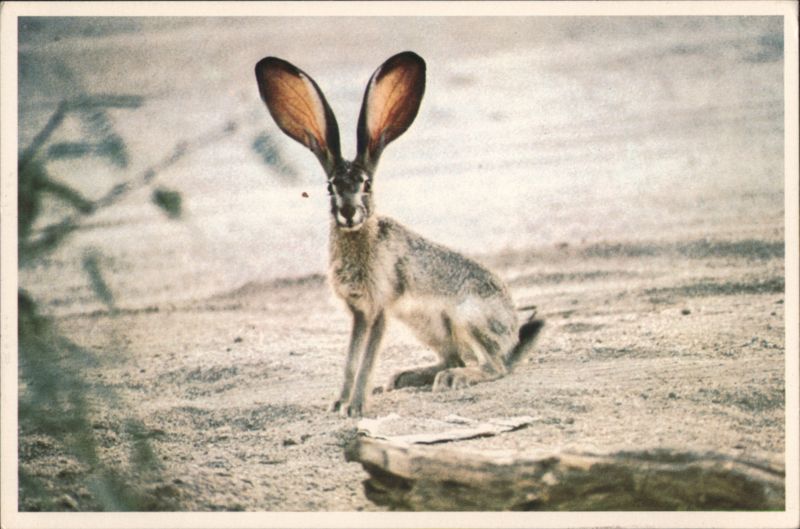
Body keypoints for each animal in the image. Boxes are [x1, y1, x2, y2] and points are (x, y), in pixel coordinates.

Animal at [255, 51, 544, 417]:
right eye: (330, 187)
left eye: (366, 184)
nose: (348, 212)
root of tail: (512, 336)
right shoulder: (358, 312)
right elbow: (351, 360)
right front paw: (338, 403)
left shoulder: (379, 308)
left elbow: (366, 360)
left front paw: (356, 408)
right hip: (427, 325)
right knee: (454, 357)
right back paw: (405, 378)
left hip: (468, 319)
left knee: (494, 367)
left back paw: (454, 379)